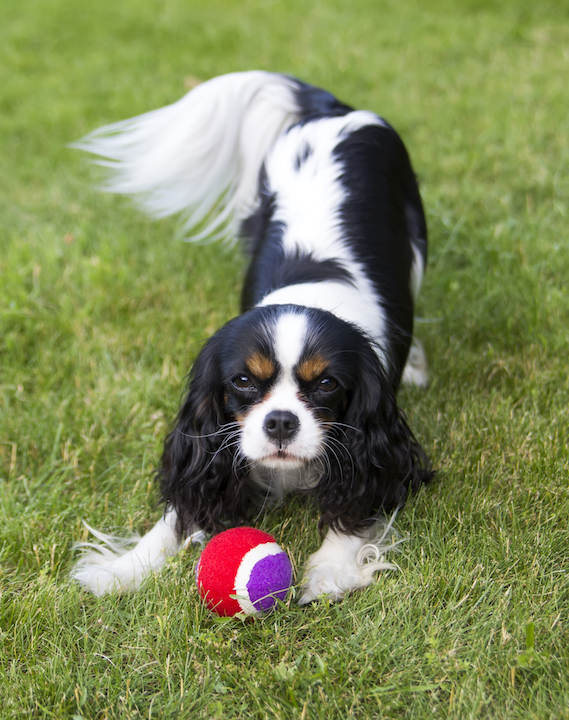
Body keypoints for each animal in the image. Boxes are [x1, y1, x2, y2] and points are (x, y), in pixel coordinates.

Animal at [73, 71, 432, 600]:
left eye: (326, 384)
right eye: (243, 381)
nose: (280, 421)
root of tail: (330, 109)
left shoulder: (373, 448)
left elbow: (355, 505)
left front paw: (330, 569)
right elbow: (175, 515)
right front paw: (124, 568)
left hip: (417, 242)